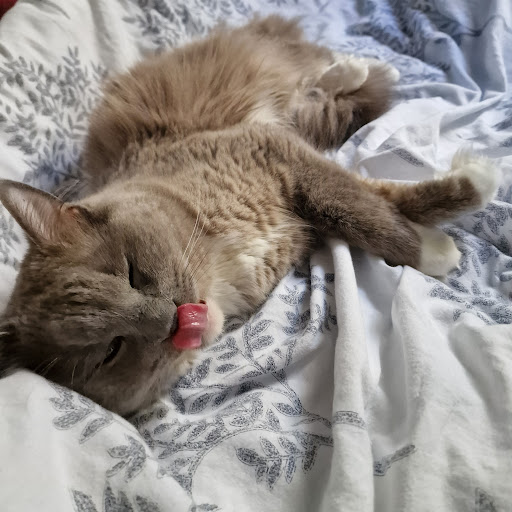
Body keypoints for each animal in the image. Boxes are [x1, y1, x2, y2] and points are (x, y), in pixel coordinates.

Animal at [0, 15, 500, 416]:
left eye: (130, 272)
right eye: (110, 351)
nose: (172, 321)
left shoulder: (280, 158)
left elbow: (370, 211)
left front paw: (468, 196)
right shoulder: (296, 185)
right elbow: (373, 203)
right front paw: (441, 243)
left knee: (315, 80)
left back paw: (359, 65)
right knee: (316, 95)